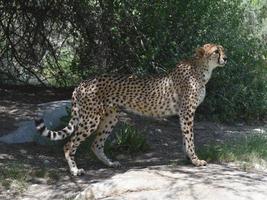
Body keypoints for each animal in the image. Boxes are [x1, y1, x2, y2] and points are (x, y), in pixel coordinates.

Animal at [35, 43, 228, 175]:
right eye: (216, 51)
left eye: (222, 49)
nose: (226, 58)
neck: (202, 69)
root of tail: (81, 83)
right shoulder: (187, 111)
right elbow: (190, 138)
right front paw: (196, 160)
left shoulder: (183, 113)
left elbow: (185, 138)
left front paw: (188, 158)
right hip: (91, 119)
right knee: (69, 144)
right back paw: (75, 170)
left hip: (110, 117)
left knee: (96, 144)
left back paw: (110, 164)